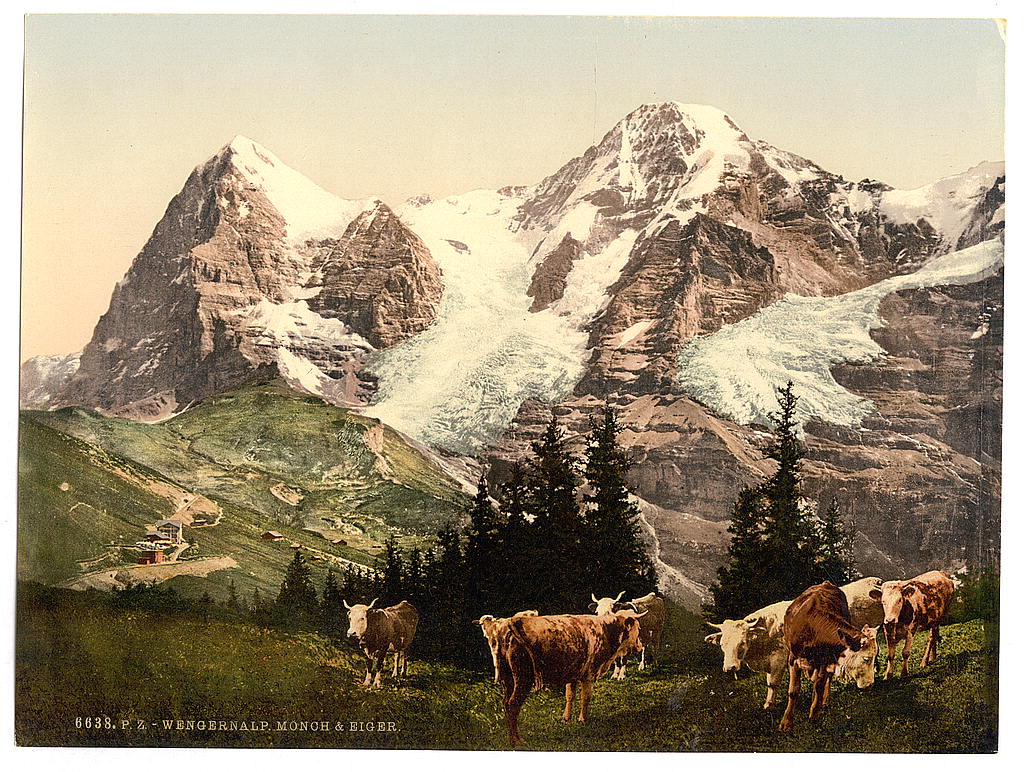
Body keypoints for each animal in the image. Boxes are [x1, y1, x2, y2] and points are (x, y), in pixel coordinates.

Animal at [493, 610, 638, 741]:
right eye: (637, 629)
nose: (640, 646)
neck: (605, 630)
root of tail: (510, 623)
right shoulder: (589, 674)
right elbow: (585, 698)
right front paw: (582, 719)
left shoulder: (573, 674)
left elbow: (569, 696)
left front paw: (566, 719)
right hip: (523, 679)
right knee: (513, 704)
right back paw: (516, 741)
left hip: (508, 679)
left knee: (506, 703)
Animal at [778, 581, 876, 728]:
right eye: (866, 658)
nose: (870, 684)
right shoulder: (793, 658)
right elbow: (793, 690)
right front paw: (786, 722)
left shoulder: (826, 658)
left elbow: (819, 685)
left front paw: (814, 714)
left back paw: (822, 702)